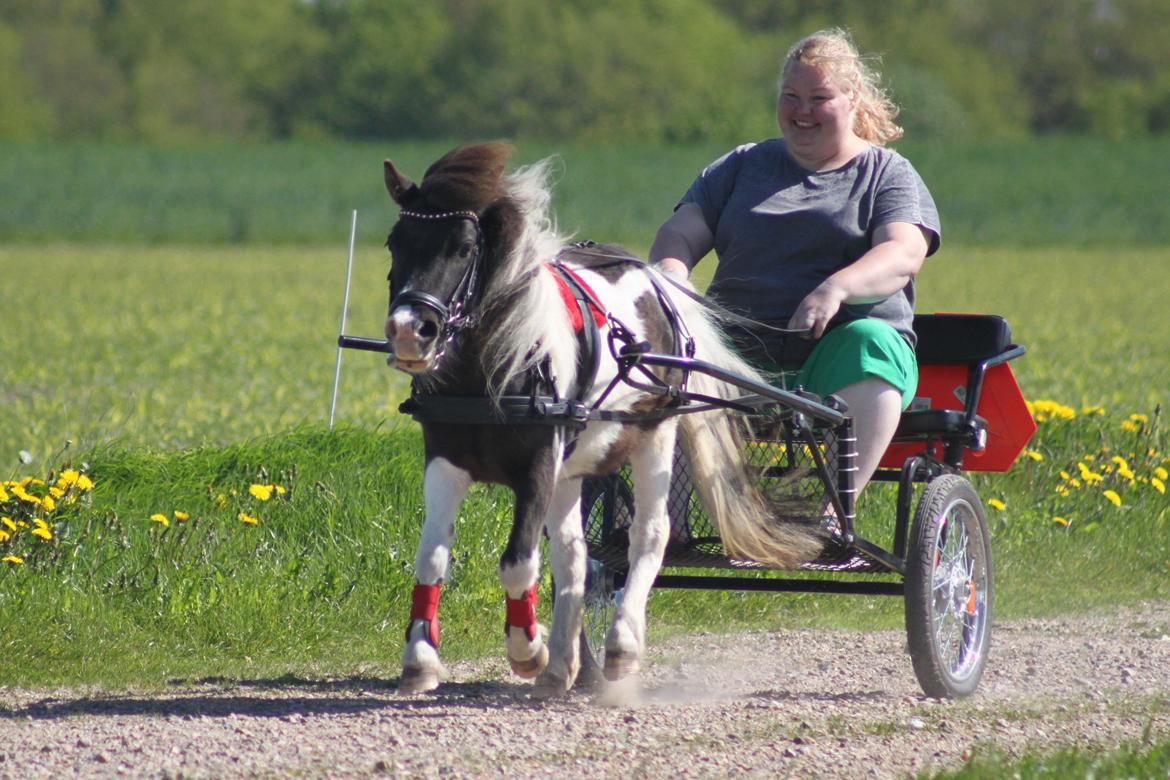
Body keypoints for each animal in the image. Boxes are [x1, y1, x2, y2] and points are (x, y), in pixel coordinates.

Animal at [379, 143, 819, 696]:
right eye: (395, 243)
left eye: (462, 249)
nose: (407, 332)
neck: (495, 362)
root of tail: (657, 280)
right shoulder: (446, 457)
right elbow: (433, 557)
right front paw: (420, 658)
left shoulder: (539, 462)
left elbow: (518, 562)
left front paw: (527, 649)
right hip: (574, 468)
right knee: (575, 557)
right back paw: (565, 665)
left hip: (655, 438)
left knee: (648, 536)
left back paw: (620, 647)